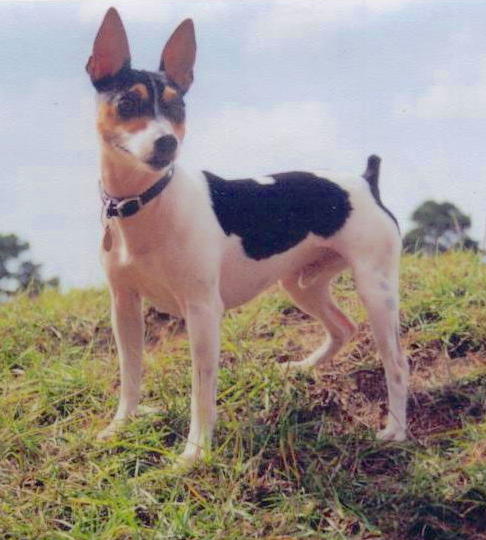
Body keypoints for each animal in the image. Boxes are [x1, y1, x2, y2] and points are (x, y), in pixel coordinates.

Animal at [86, 7, 406, 464]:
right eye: (127, 103)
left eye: (178, 107)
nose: (166, 143)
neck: (146, 201)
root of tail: (366, 181)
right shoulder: (124, 307)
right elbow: (130, 375)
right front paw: (120, 427)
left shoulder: (203, 312)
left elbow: (202, 390)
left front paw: (195, 452)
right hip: (302, 283)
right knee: (343, 327)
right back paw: (302, 368)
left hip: (375, 289)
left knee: (396, 363)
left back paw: (396, 428)